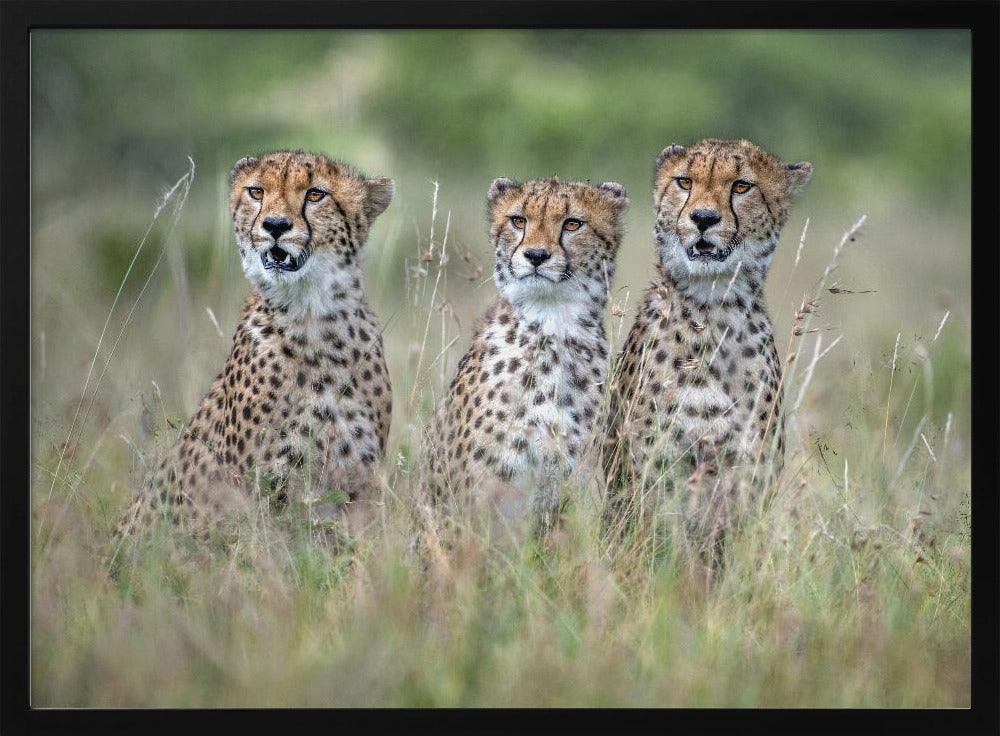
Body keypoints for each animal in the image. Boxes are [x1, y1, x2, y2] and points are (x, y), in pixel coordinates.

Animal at [111, 150, 395, 560]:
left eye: (316, 194)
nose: (274, 225)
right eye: (256, 191)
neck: (314, 316)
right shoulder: (259, 490)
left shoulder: (358, 484)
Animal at [601, 138, 812, 565]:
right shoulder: (656, 475)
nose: (702, 218)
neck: (713, 308)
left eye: (742, 186)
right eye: (685, 182)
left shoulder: (747, 476)